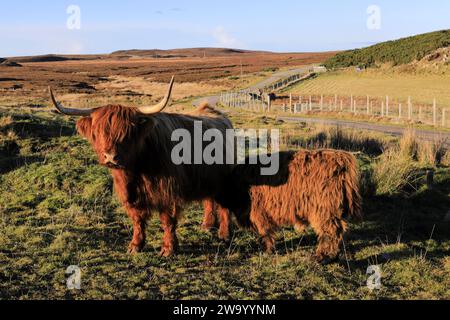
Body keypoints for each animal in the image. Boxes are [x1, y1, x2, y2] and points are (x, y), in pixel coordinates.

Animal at [49, 78, 234, 258]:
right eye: (99, 131)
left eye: (127, 132)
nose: (110, 157)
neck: (137, 170)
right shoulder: (129, 193)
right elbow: (137, 219)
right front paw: (135, 245)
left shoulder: (167, 192)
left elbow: (167, 220)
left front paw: (168, 249)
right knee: (209, 199)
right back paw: (207, 225)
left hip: (225, 179)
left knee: (225, 205)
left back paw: (224, 234)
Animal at [215, 149, 362, 262]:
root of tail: (341, 159)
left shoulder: (259, 211)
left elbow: (265, 231)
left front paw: (267, 250)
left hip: (324, 210)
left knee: (331, 231)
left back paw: (323, 257)